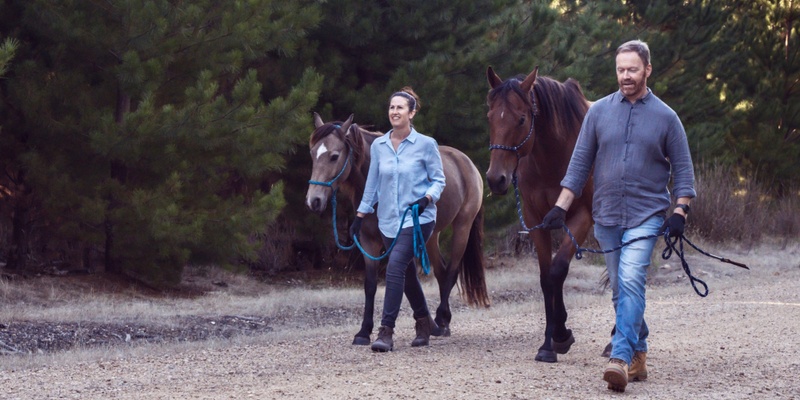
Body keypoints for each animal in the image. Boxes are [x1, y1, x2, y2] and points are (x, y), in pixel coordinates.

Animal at [306, 112, 490, 344]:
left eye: (334, 156)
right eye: (313, 154)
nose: (314, 201)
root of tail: (467, 163)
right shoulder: (369, 242)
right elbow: (371, 285)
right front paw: (364, 331)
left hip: (462, 228)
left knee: (451, 272)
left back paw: (441, 319)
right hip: (431, 237)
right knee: (441, 272)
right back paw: (441, 322)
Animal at [484, 66, 592, 362]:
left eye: (521, 119)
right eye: (490, 117)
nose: (496, 179)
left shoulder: (581, 218)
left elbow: (558, 270)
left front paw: (560, 335)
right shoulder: (537, 221)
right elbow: (546, 279)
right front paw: (550, 341)